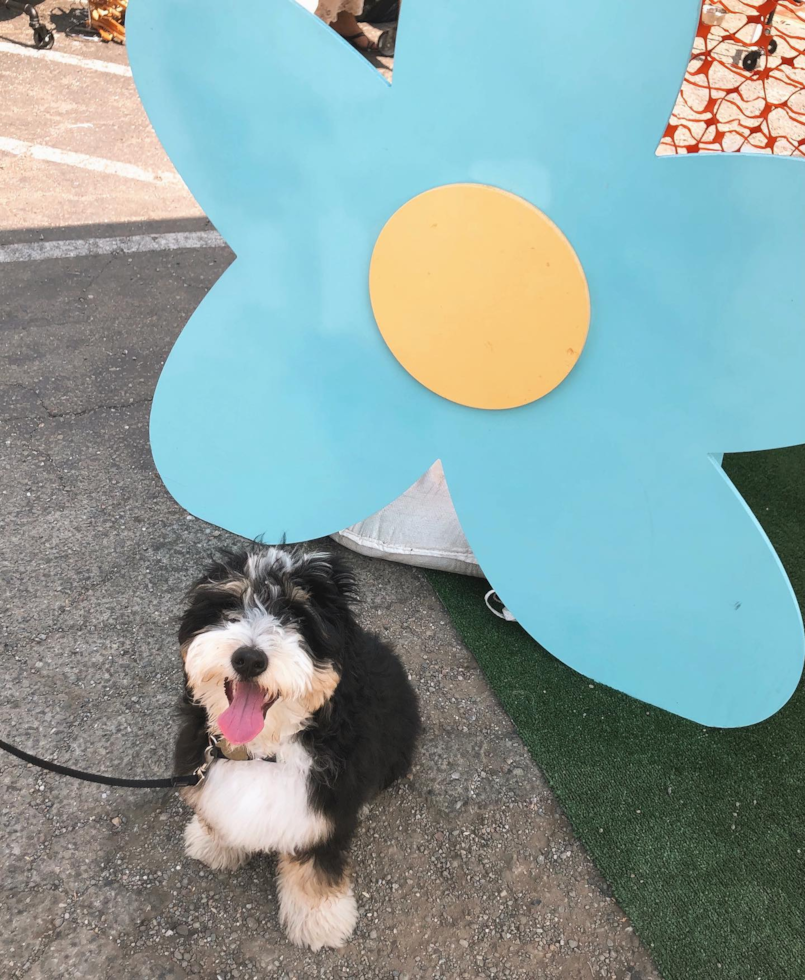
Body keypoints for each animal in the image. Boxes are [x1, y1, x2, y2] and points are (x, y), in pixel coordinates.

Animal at [172, 544, 418, 948]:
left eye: (298, 618)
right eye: (230, 606)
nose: (249, 658)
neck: (263, 751)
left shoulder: (325, 807)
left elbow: (316, 862)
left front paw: (320, 919)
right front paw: (212, 841)